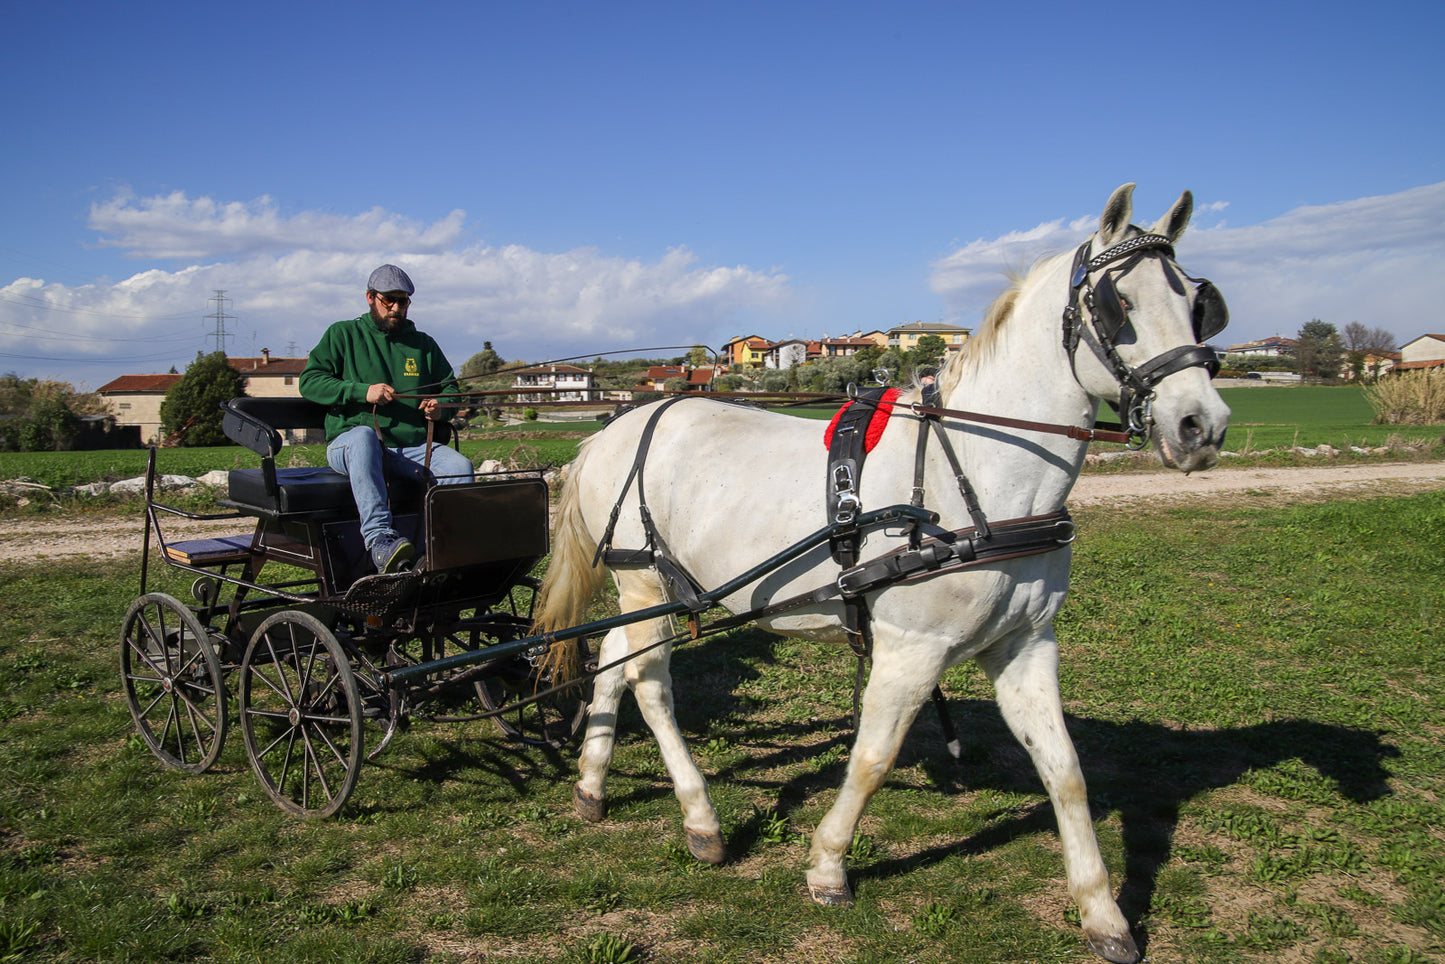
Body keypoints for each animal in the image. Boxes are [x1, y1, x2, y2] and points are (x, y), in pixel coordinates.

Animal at [531, 182, 1231, 964]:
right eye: (1119, 306)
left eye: (1196, 300)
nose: (1202, 426)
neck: (975, 477)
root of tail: (611, 430)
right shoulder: (911, 650)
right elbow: (872, 757)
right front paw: (828, 866)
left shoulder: (1023, 645)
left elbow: (1066, 771)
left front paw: (1102, 913)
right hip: (644, 583)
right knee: (650, 686)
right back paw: (700, 818)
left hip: (648, 593)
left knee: (613, 660)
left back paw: (592, 784)